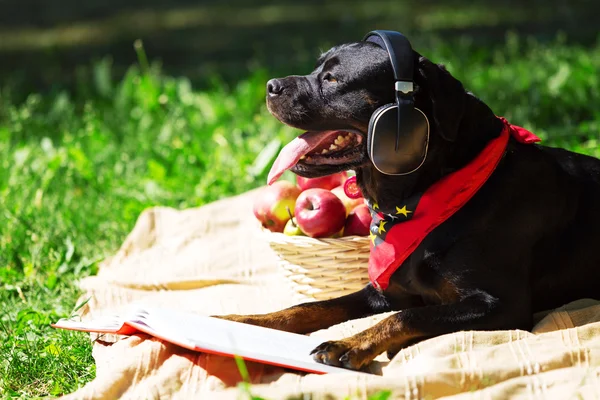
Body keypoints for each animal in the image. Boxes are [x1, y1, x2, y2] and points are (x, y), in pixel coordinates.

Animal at [220, 39, 600, 370]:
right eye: (317, 69)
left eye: (332, 79)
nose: (270, 85)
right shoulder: (388, 289)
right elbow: (310, 306)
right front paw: (243, 320)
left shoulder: (502, 304)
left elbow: (406, 316)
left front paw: (349, 343)